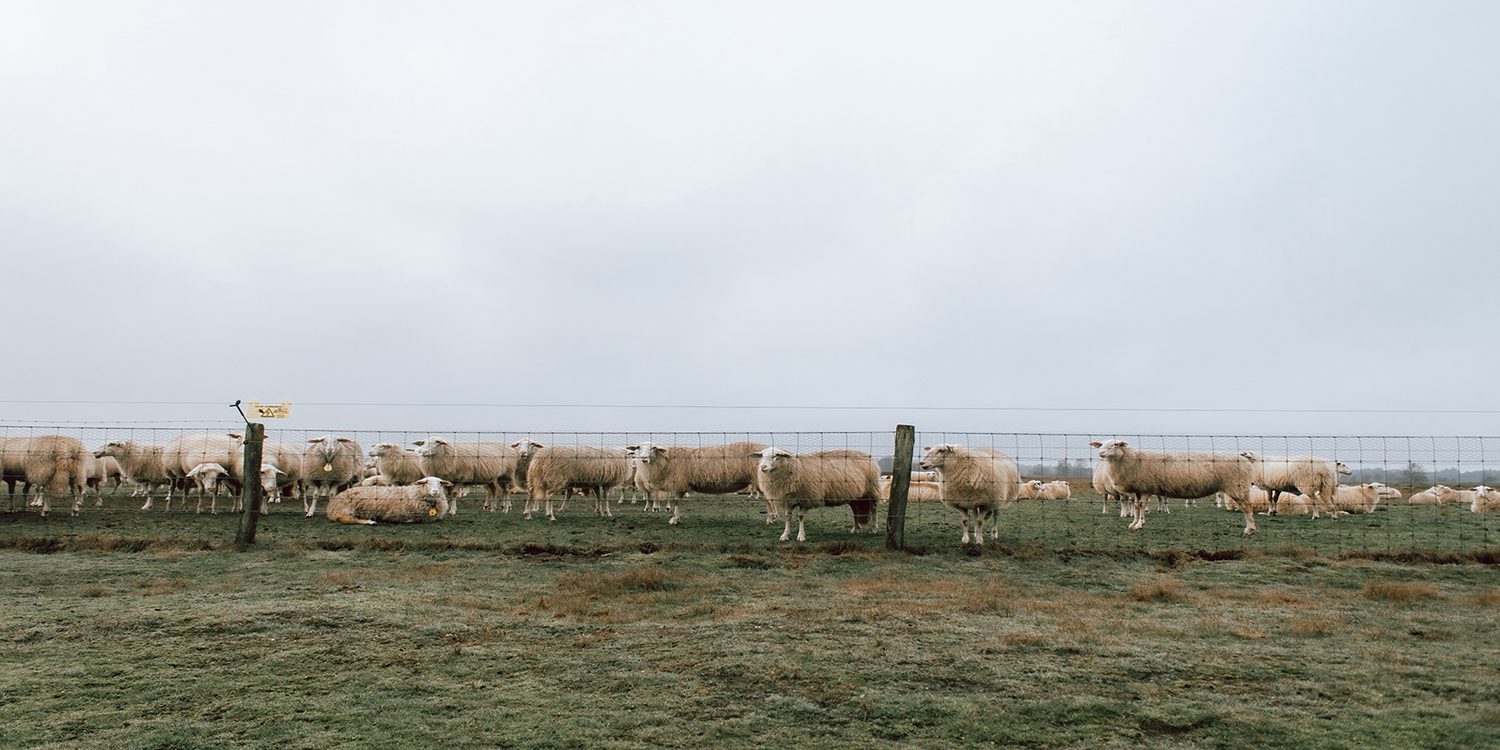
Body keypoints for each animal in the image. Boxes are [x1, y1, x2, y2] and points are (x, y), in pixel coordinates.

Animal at [618, 441, 762, 525]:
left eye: (653, 448)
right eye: (638, 448)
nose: (643, 459)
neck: (666, 461)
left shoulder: (679, 482)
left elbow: (676, 501)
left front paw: (674, 519)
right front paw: (677, 518)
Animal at [1092, 438, 1254, 537]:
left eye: (1115, 444)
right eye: (1101, 444)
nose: (1100, 452)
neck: (1131, 460)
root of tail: (1244, 459)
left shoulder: (1145, 489)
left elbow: (1141, 507)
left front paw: (1139, 524)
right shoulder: (1138, 490)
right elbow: (1137, 507)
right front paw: (1134, 523)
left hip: (1237, 487)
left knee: (1247, 508)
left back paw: (1249, 529)